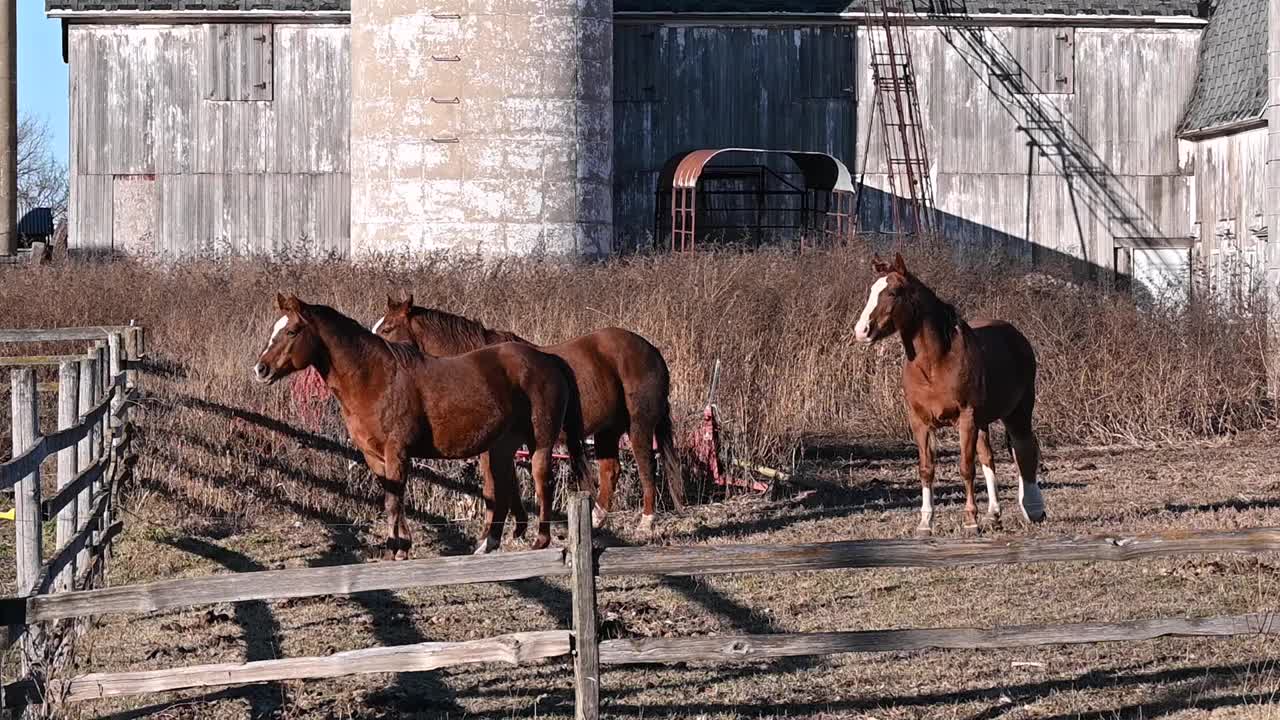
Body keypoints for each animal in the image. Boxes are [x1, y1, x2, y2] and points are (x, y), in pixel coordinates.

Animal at [250, 292, 588, 556]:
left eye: (292, 331)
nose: (260, 369)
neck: (375, 378)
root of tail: (548, 359)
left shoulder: (397, 452)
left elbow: (394, 499)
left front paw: (400, 548)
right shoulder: (374, 456)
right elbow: (392, 498)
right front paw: (396, 547)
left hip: (540, 443)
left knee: (542, 481)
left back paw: (540, 540)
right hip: (503, 446)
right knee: (505, 487)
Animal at [373, 293, 680, 532]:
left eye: (388, 327)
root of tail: (650, 349)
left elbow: (492, 486)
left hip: (639, 426)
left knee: (646, 466)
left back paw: (646, 522)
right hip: (608, 430)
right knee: (611, 471)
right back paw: (595, 520)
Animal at [855, 253, 1044, 532]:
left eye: (893, 292)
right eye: (871, 291)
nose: (861, 331)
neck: (935, 364)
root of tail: (1017, 335)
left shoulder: (966, 418)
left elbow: (966, 468)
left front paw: (970, 520)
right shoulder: (920, 422)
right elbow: (926, 469)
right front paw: (925, 522)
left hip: (1017, 412)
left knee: (1024, 450)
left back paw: (1033, 508)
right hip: (984, 421)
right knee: (988, 457)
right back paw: (994, 514)